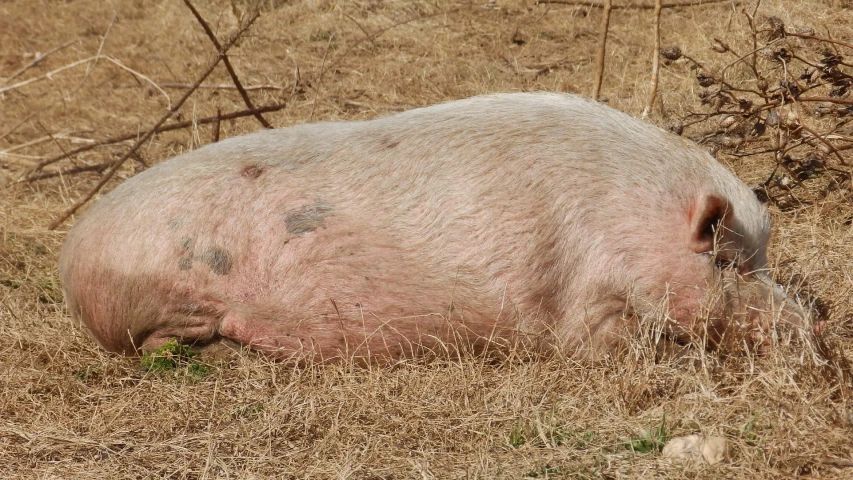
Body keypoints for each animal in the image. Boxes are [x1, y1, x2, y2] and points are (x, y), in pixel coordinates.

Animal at [58, 92, 804, 362]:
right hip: (159, 302)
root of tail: (72, 251)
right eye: (727, 260)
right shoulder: (575, 302)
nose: (811, 323)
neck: (627, 220)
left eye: (764, 257)